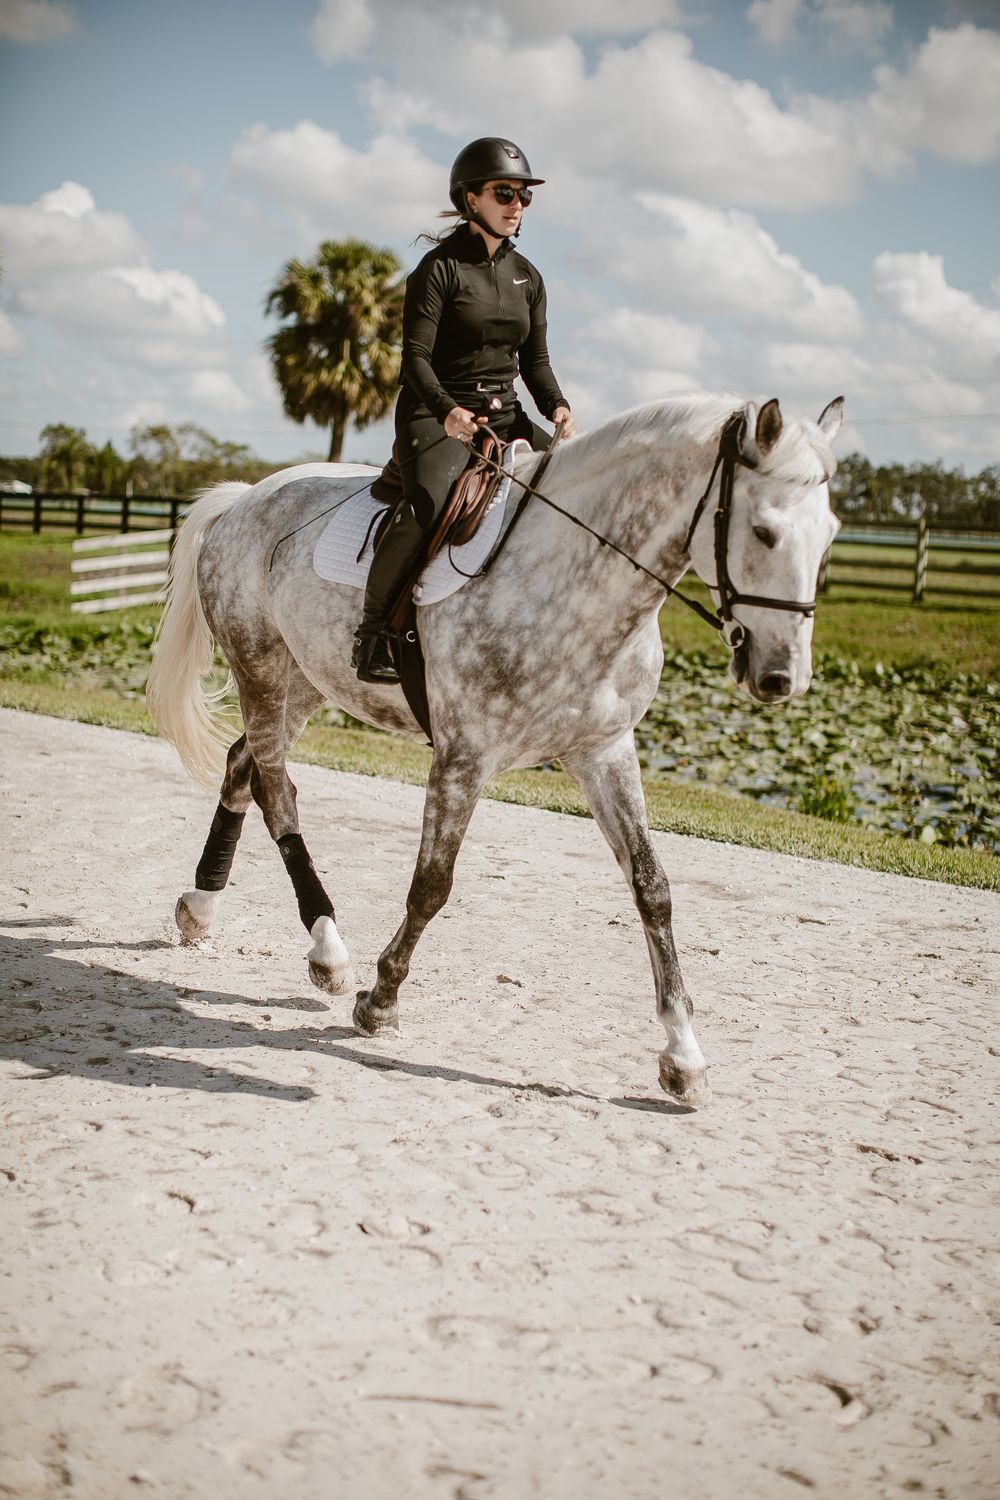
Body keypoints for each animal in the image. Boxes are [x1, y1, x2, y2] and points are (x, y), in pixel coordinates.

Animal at [146, 391, 844, 1107]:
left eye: (830, 537)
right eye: (764, 532)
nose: (782, 678)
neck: (576, 584)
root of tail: (247, 497)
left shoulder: (604, 752)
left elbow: (653, 890)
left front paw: (684, 1055)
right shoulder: (463, 757)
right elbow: (431, 885)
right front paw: (381, 998)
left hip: (306, 680)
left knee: (245, 766)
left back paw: (202, 910)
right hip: (260, 667)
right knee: (277, 790)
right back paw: (328, 952)